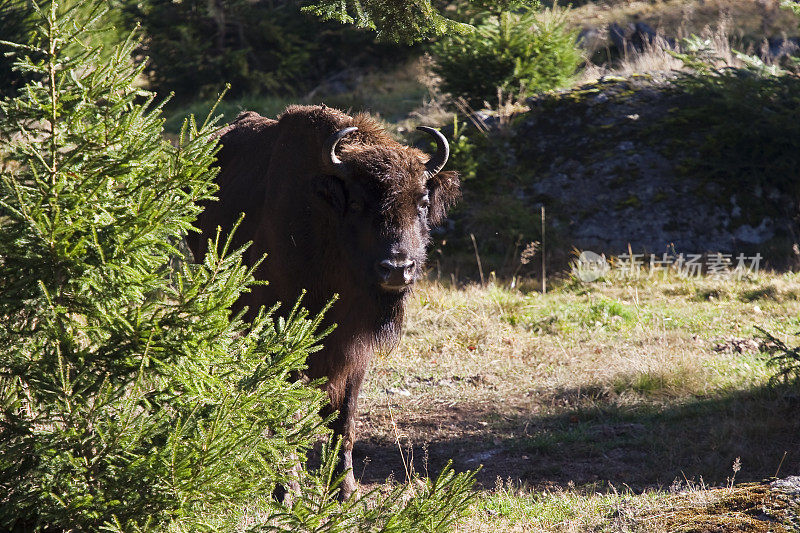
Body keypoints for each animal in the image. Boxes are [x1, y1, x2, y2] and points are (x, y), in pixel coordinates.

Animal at [188, 105, 460, 498]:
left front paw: (345, 489)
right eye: (358, 203)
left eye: (422, 203)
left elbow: (343, 417)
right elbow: (285, 413)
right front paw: (287, 491)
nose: (397, 269)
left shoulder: (354, 349)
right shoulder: (281, 335)